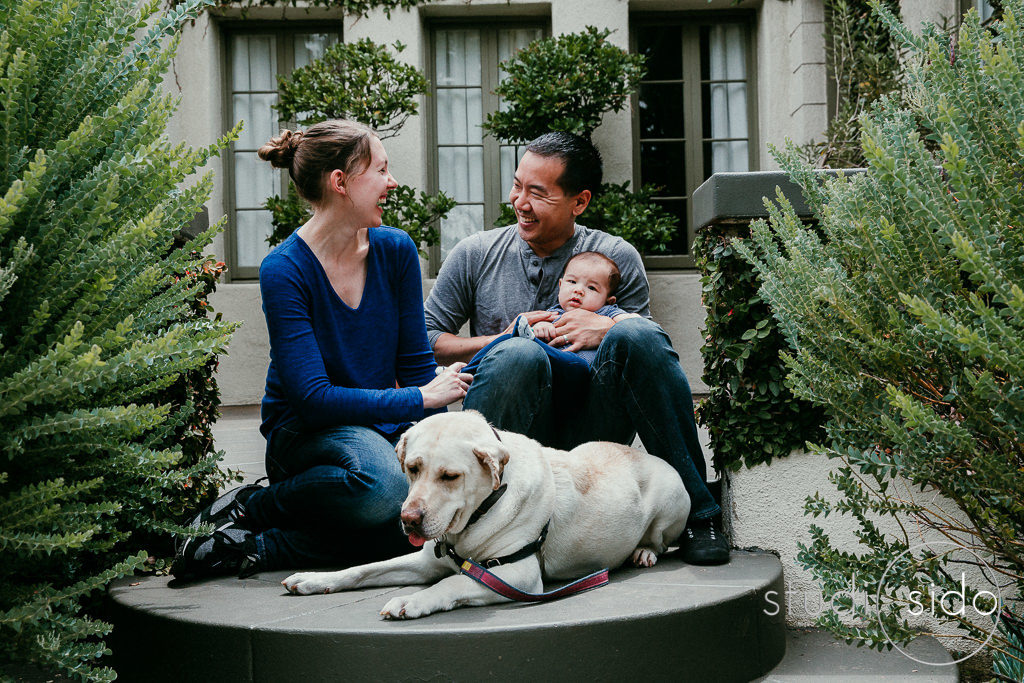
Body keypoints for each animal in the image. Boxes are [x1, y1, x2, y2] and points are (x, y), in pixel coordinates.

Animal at [284, 411, 692, 618]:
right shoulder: (426, 560)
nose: (409, 519)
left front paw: (410, 601)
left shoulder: (515, 574)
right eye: (412, 468)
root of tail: (646, 454)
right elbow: (364, 568)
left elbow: (452, 583)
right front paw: (315, 578)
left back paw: (643, 553)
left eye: (450, 476)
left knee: (660, 541)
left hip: (672, 502)